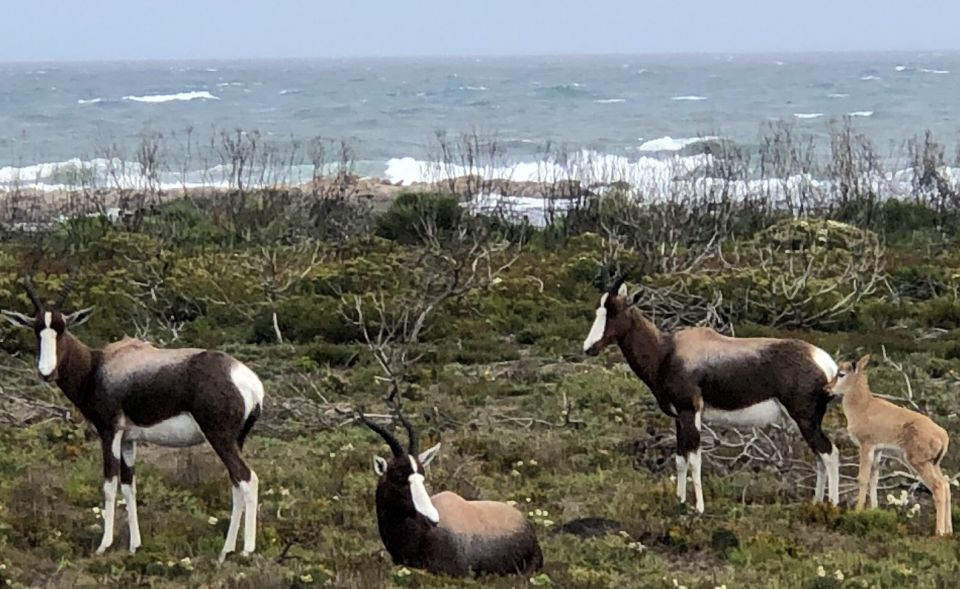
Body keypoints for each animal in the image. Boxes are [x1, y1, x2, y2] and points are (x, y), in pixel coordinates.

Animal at [1, 276, 264, 560]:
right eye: (37, 328)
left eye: (62, 328)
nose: (46, 372)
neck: (98, 365)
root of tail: (247, 380)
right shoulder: (129, 439)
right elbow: (129, 485)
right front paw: (134, 545)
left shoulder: (109, 432)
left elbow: (110, 483)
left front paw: (104, 545)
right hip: (235, 440)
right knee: (236, 483)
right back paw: (226, 551)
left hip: (220, 437)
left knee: (248, 478)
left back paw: (246, 551)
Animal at [580, 276, 836, 510]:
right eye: (599, 309)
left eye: (614, 311)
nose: (588, 348)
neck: (668, 351)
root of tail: (825, 361)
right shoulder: (679, 417)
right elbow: (680, 459)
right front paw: (680, 501)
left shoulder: (690, 412)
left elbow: (695, 460)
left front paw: (700, 508)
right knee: (819, 457)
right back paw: (816, 503)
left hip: (805, 418)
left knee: (829, 453)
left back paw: (833, 506)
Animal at [832, 356, 952, 536]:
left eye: (841, 373)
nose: (827, 387)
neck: (863, 406)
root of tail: (943, 435)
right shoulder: (878, 450)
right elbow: (874, 480)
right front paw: (874, 510)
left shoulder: (866, 446)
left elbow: (863, 478)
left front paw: (858, 511)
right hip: (934, 464)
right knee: (946, 483)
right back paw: (949, 531)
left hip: (919, 463)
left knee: (938, 487)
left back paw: (939, 532)